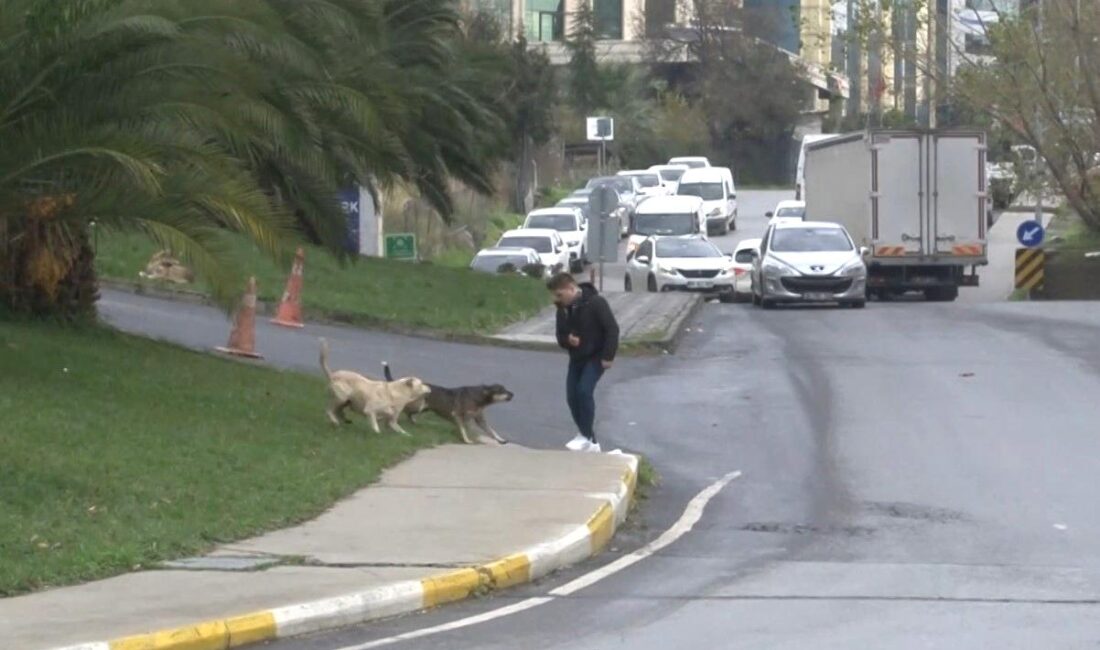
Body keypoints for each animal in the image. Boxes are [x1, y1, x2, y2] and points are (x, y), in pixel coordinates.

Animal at [382, 362, 510, 444]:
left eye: (505, 389)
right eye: (502, 390)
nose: (512, 394)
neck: (479, 397)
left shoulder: (480, 419)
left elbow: (492, 431)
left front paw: (501, 440)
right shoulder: (458, 415)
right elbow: (464, 429)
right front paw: (466, 440)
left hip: (423, 408)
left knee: (409, 414)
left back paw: (413, 422)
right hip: (417, 406)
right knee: (405, 410)